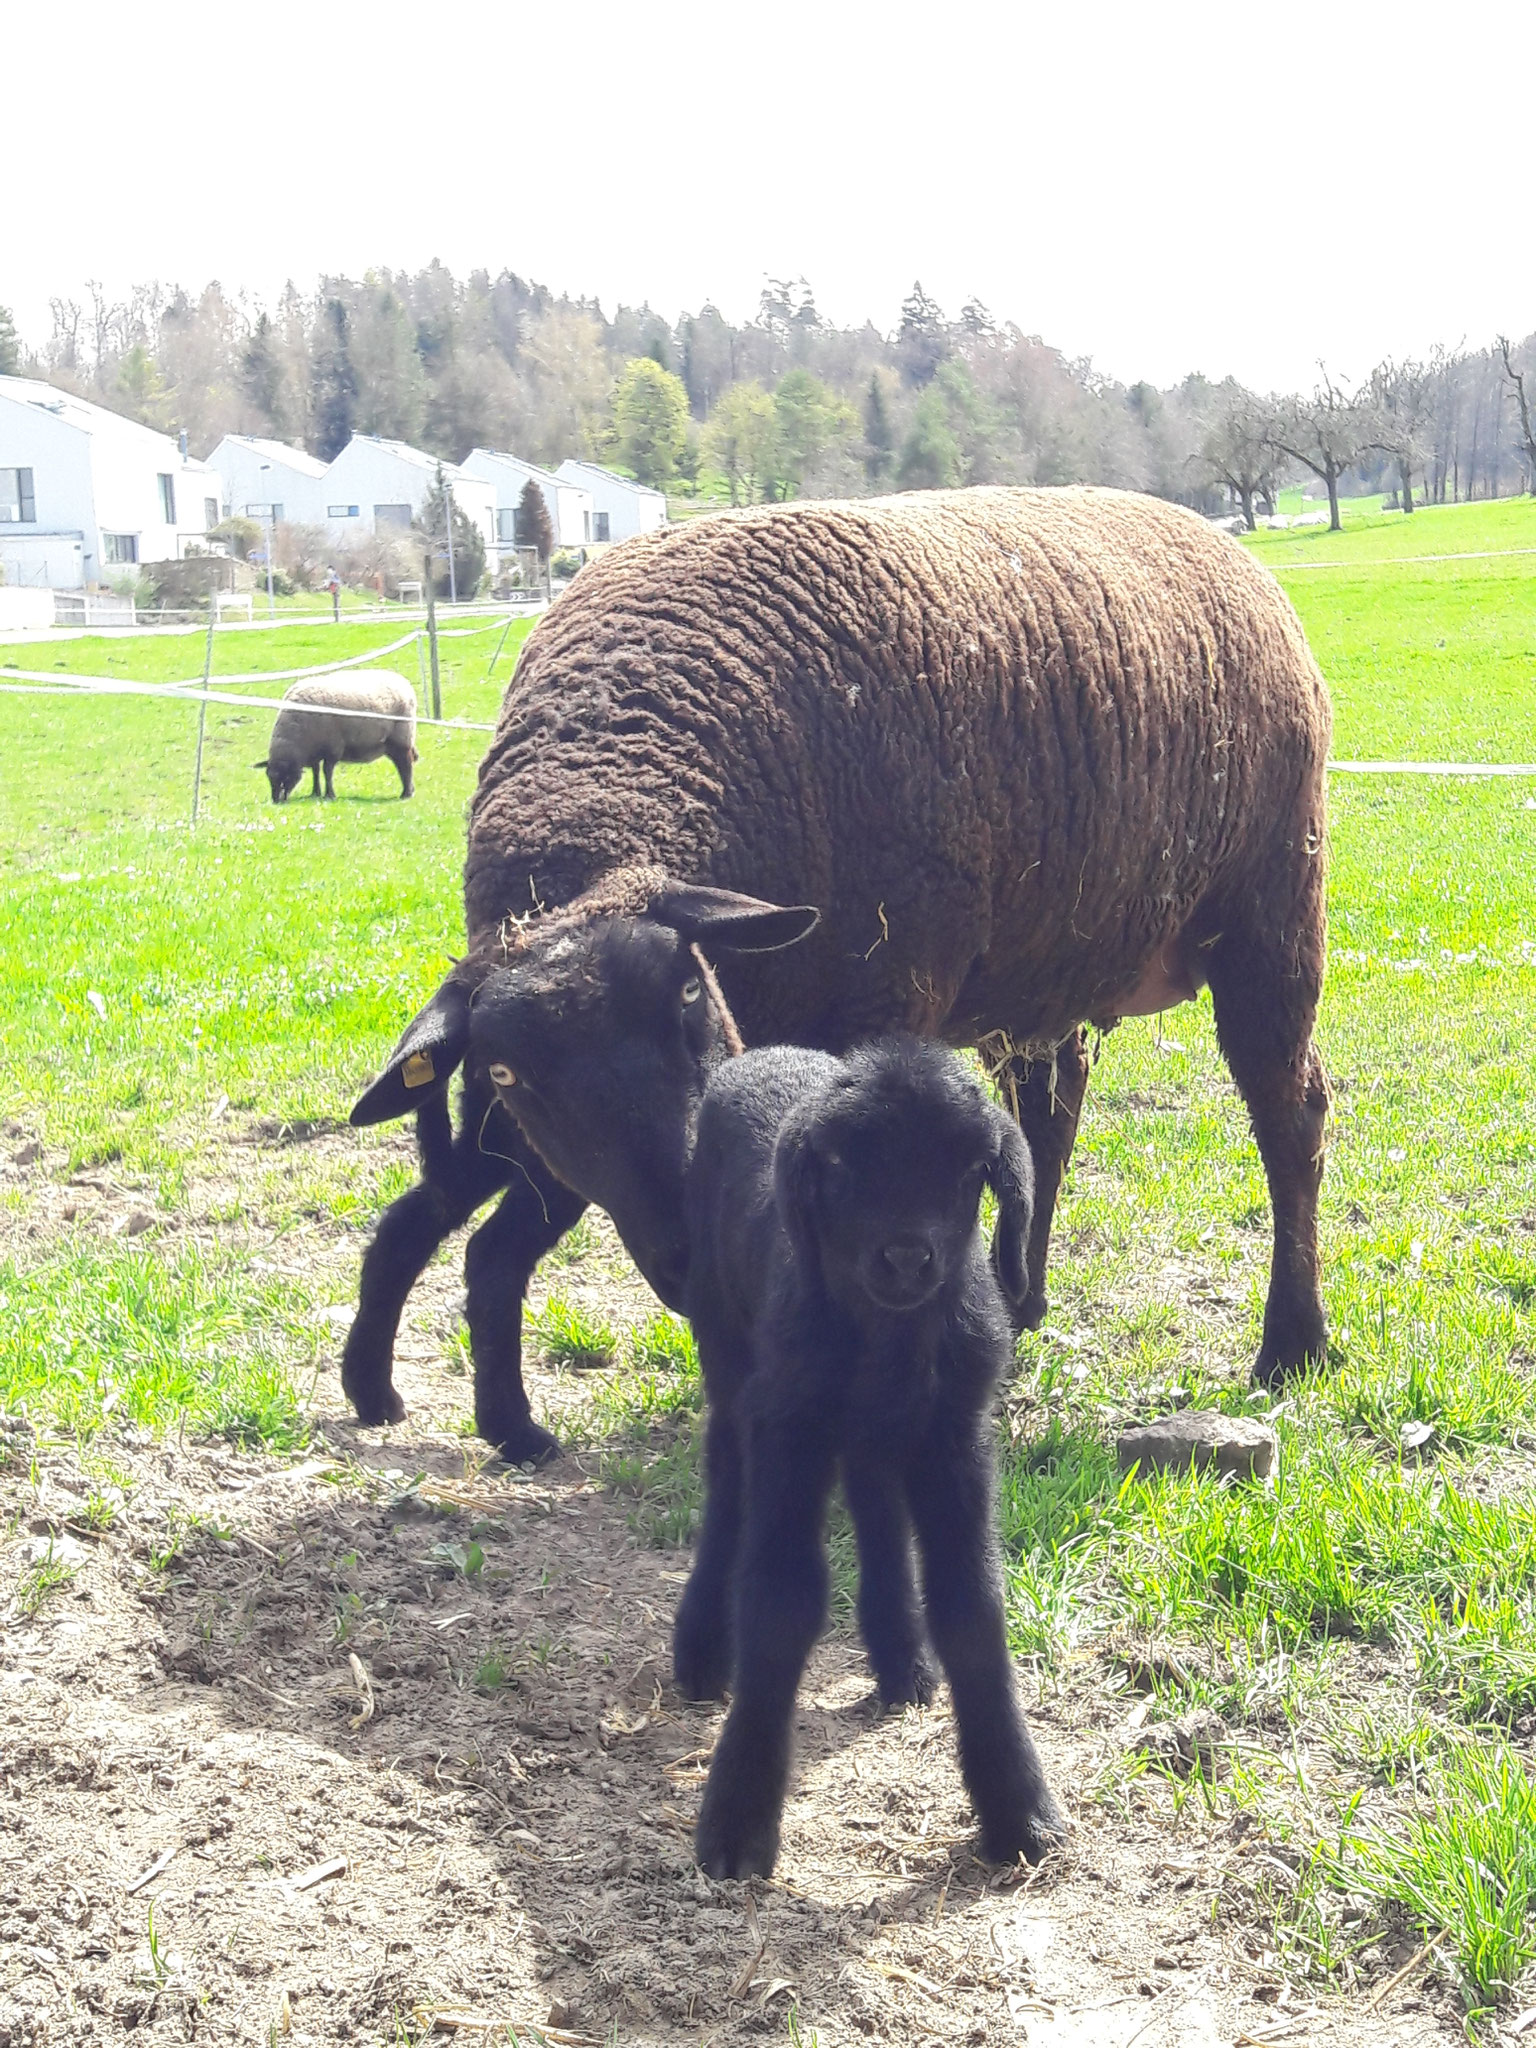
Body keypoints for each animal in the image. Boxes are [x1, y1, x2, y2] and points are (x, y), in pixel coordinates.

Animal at [257, 671, 417, 798]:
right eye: (269, 777)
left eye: (287, 775)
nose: (276, 800)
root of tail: (405, 683)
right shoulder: (314, 751)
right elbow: (315, 771)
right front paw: (315, 793)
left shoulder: (333, 748)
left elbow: (327, 772)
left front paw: (329, 795)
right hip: (389, 745)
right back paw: (410, 790)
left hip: (401, 739)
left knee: (405, 764)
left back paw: (406, 794)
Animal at [342, 487, 1327, 1466]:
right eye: (510, 1072)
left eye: (688, 994)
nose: (685, 1257)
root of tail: (1210, 534)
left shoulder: (876, 1006)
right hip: (1043, 963)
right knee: (1048, 1112)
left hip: (1272, 903)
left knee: (1290, 1112)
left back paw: (1293, 1344)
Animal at [679, 1032, 1064, 1875]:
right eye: (840, 1165)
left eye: (968, 1168)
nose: (907, 1258)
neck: (889, 1340)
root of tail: (763, 1051)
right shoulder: (787, 1426)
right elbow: (780, 1601)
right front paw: (737, 1821)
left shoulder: (957, 1439)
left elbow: (972, 1605)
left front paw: (1020, 1809)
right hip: (725, 1344)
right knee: (726, 1478)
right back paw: (700, 1652)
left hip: (876, 1433)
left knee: (874, 1500)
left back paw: (901, 1660)